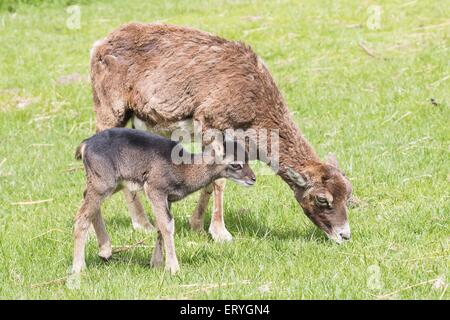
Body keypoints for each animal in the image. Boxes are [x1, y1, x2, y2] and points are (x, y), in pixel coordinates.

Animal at [71, 127, 255, 276]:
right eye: (236, 164)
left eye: (247, 158)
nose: (253, 179)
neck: (183, 170)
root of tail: (85, 144)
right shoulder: (155, 189)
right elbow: (167, 225)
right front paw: (173, 268)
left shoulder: (168, 198)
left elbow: (160, 225)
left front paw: (157, 264)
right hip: (103, 183)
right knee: (81, 216)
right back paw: (79, 268)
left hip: (111, 183)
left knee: (87, 200)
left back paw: (105, 251)